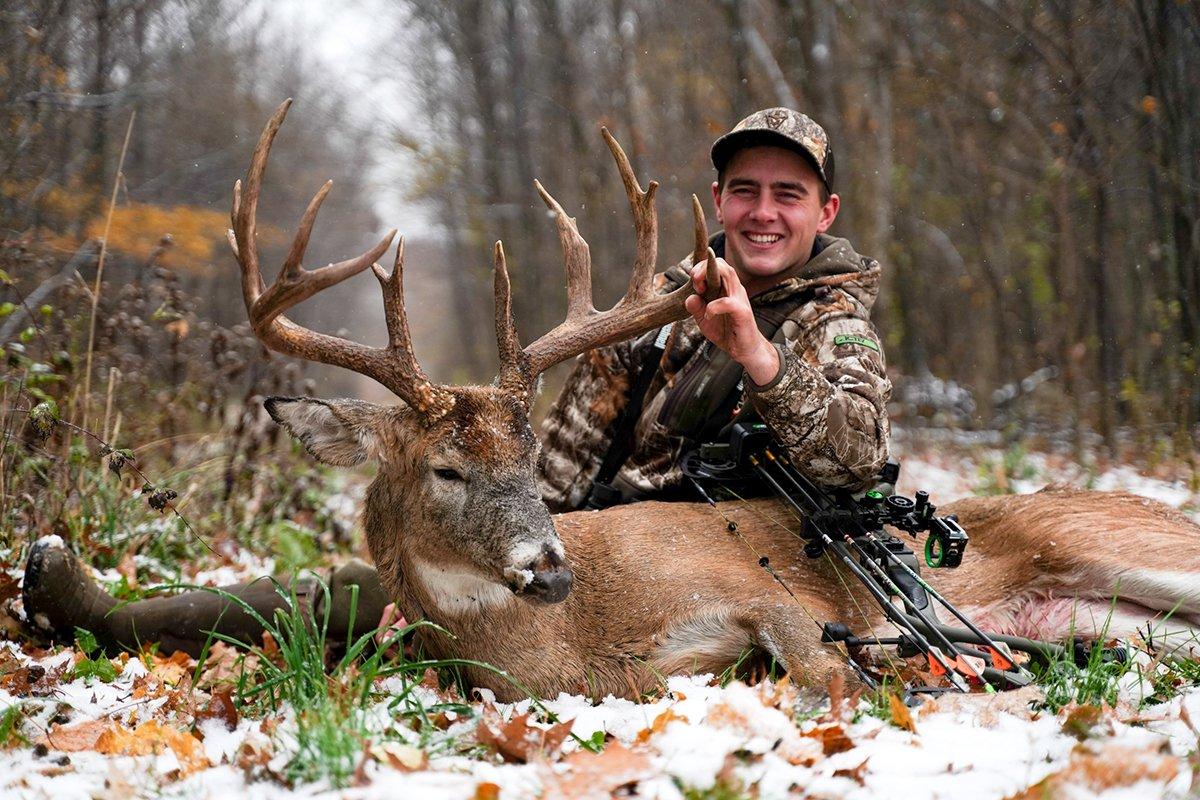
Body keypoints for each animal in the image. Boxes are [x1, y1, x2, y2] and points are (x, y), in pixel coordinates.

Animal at [230, 100, 1200, 702]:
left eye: (526, 457)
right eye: (447, 469)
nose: (549, 567)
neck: (567, 648)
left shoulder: (752, 590)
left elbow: (827, 673)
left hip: (1125, 542)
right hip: (1113, 621)